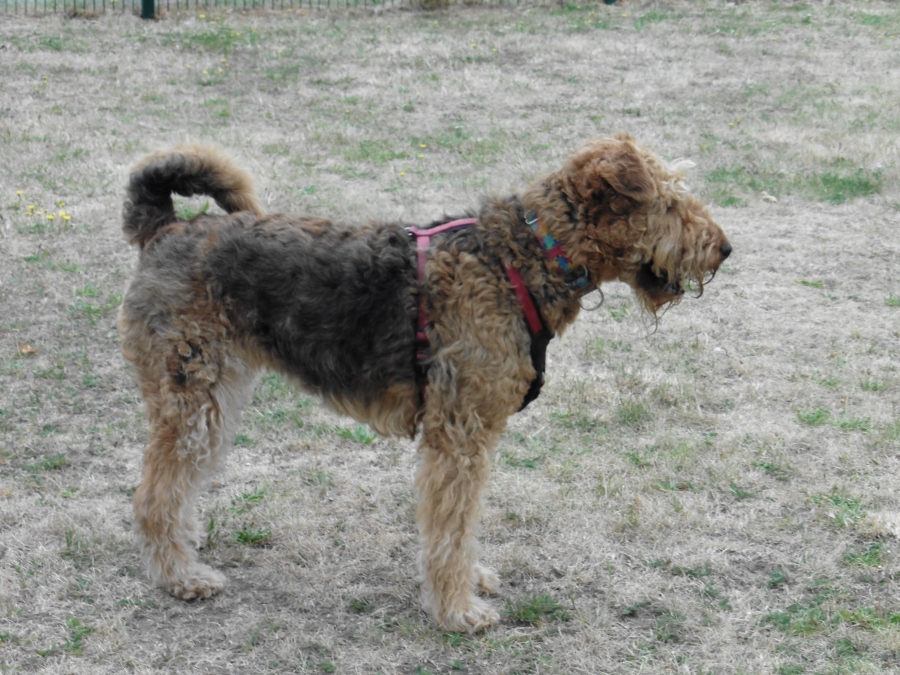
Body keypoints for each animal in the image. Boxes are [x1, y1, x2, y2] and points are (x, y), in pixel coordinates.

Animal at [118, 134, 731, 632]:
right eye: (669, 203)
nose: (724, 248)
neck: (521, 257)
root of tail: (166, 227)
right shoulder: (459, 434)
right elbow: (451, 528)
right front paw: (458, 611)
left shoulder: (469, 435)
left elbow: (462, 525)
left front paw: (468, 583)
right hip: (191, 394)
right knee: (152, 493)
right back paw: (180, 577)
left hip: (216, 394)